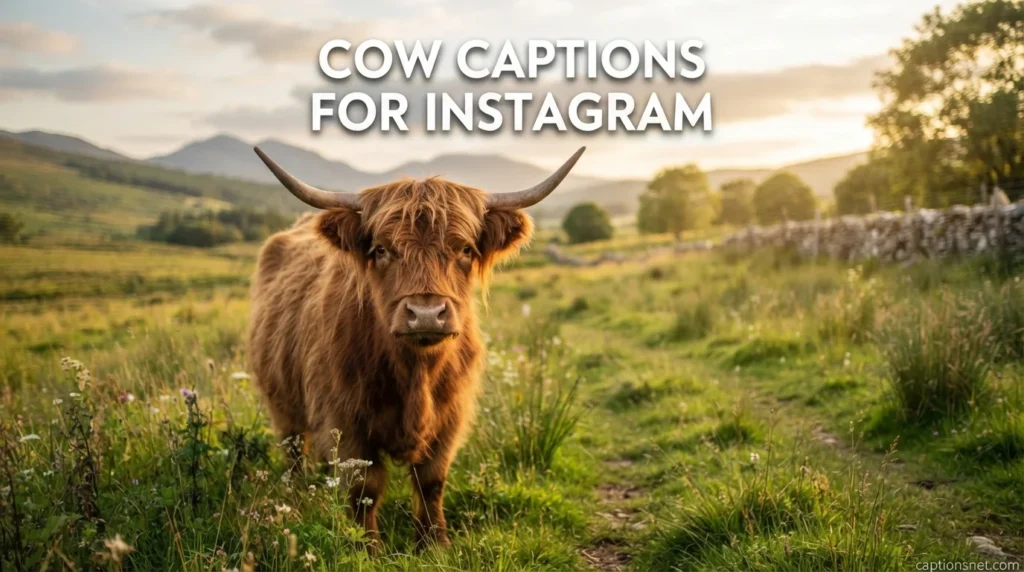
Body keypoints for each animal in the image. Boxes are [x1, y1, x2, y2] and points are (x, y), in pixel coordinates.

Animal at [246, 146, 585, 551]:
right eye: (381, 250)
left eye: (465, 249)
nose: (426, 314)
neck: (415, 373)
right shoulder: (342, 418)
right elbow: (364, 487)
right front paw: (366, 548)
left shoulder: (450, 417)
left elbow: (431, 481)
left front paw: (435, 543)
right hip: (283, 406)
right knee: (295, 453)